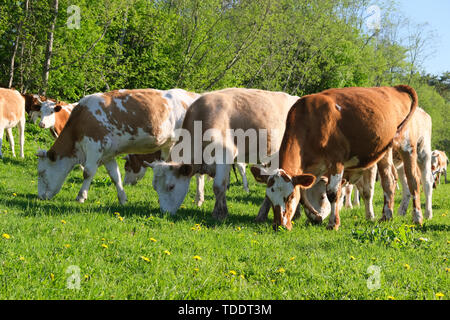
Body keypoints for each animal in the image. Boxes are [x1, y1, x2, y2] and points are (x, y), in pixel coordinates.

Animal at [36, 89, 201, 205]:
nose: (40, 196)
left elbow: (88, 172)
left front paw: (81, 196)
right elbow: (115, 176)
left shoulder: (94, 146)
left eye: (42, 173)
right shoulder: (108, 154)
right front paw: (122, 198)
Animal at [145, 88, 298, 220]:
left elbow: (218, 186)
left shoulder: (224, 154)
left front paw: (219, 213)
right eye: (155, 187)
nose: (164, 213)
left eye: (171, 186)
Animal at [250, 85, 418, 230]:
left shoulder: (336, 161)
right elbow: (304, 195)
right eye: (270, 198)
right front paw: (314, 216)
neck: (311, 121)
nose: (279, 225)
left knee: (413, 181)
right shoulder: (312, 168)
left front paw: (333, 223)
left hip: (407, 146)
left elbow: (332, 193)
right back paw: (386, 215)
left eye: (290, 196)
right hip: (384, 151)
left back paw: (417, 218)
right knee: (388, 181)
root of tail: (394, 88)